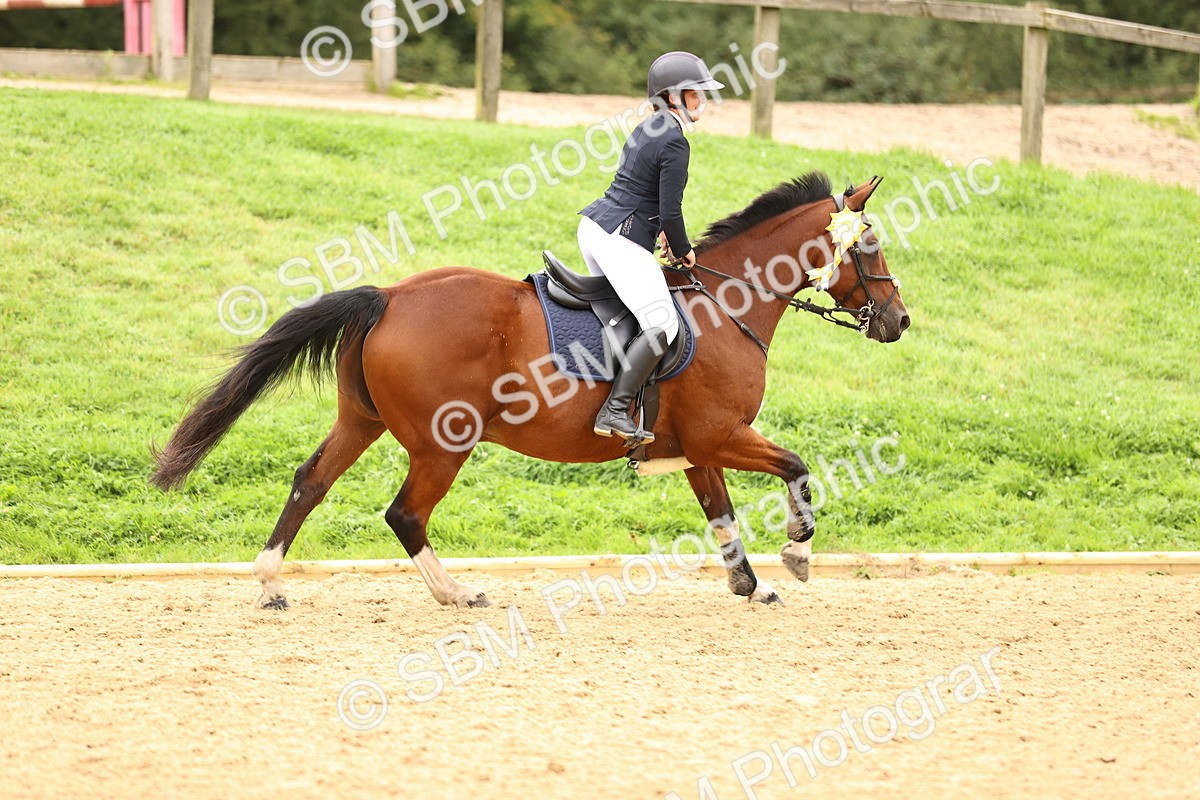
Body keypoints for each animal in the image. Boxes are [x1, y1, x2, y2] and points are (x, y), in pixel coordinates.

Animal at [150, 170, 908, 609]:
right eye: (870, 245)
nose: (898, 321)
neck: (728, 303)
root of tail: (390, 297)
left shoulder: (699, 446)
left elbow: (720, 514)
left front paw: (752, 584)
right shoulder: (722, 435)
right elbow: (797, 468)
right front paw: (799, 553)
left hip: (361, 421)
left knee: (311, 481)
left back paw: (271, 582)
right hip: (442, 443)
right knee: (405, 513)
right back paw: (457, 593)